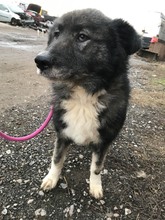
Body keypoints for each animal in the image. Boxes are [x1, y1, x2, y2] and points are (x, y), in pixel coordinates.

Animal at [34, 8, 141, 199]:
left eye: (82, 36)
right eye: (56, 34)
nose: (40, 61)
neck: (83, 96)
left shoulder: (103, 141)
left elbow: (97, 167)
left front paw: (95, 186)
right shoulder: (62, 134)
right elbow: (57, 159)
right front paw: (51, 179)